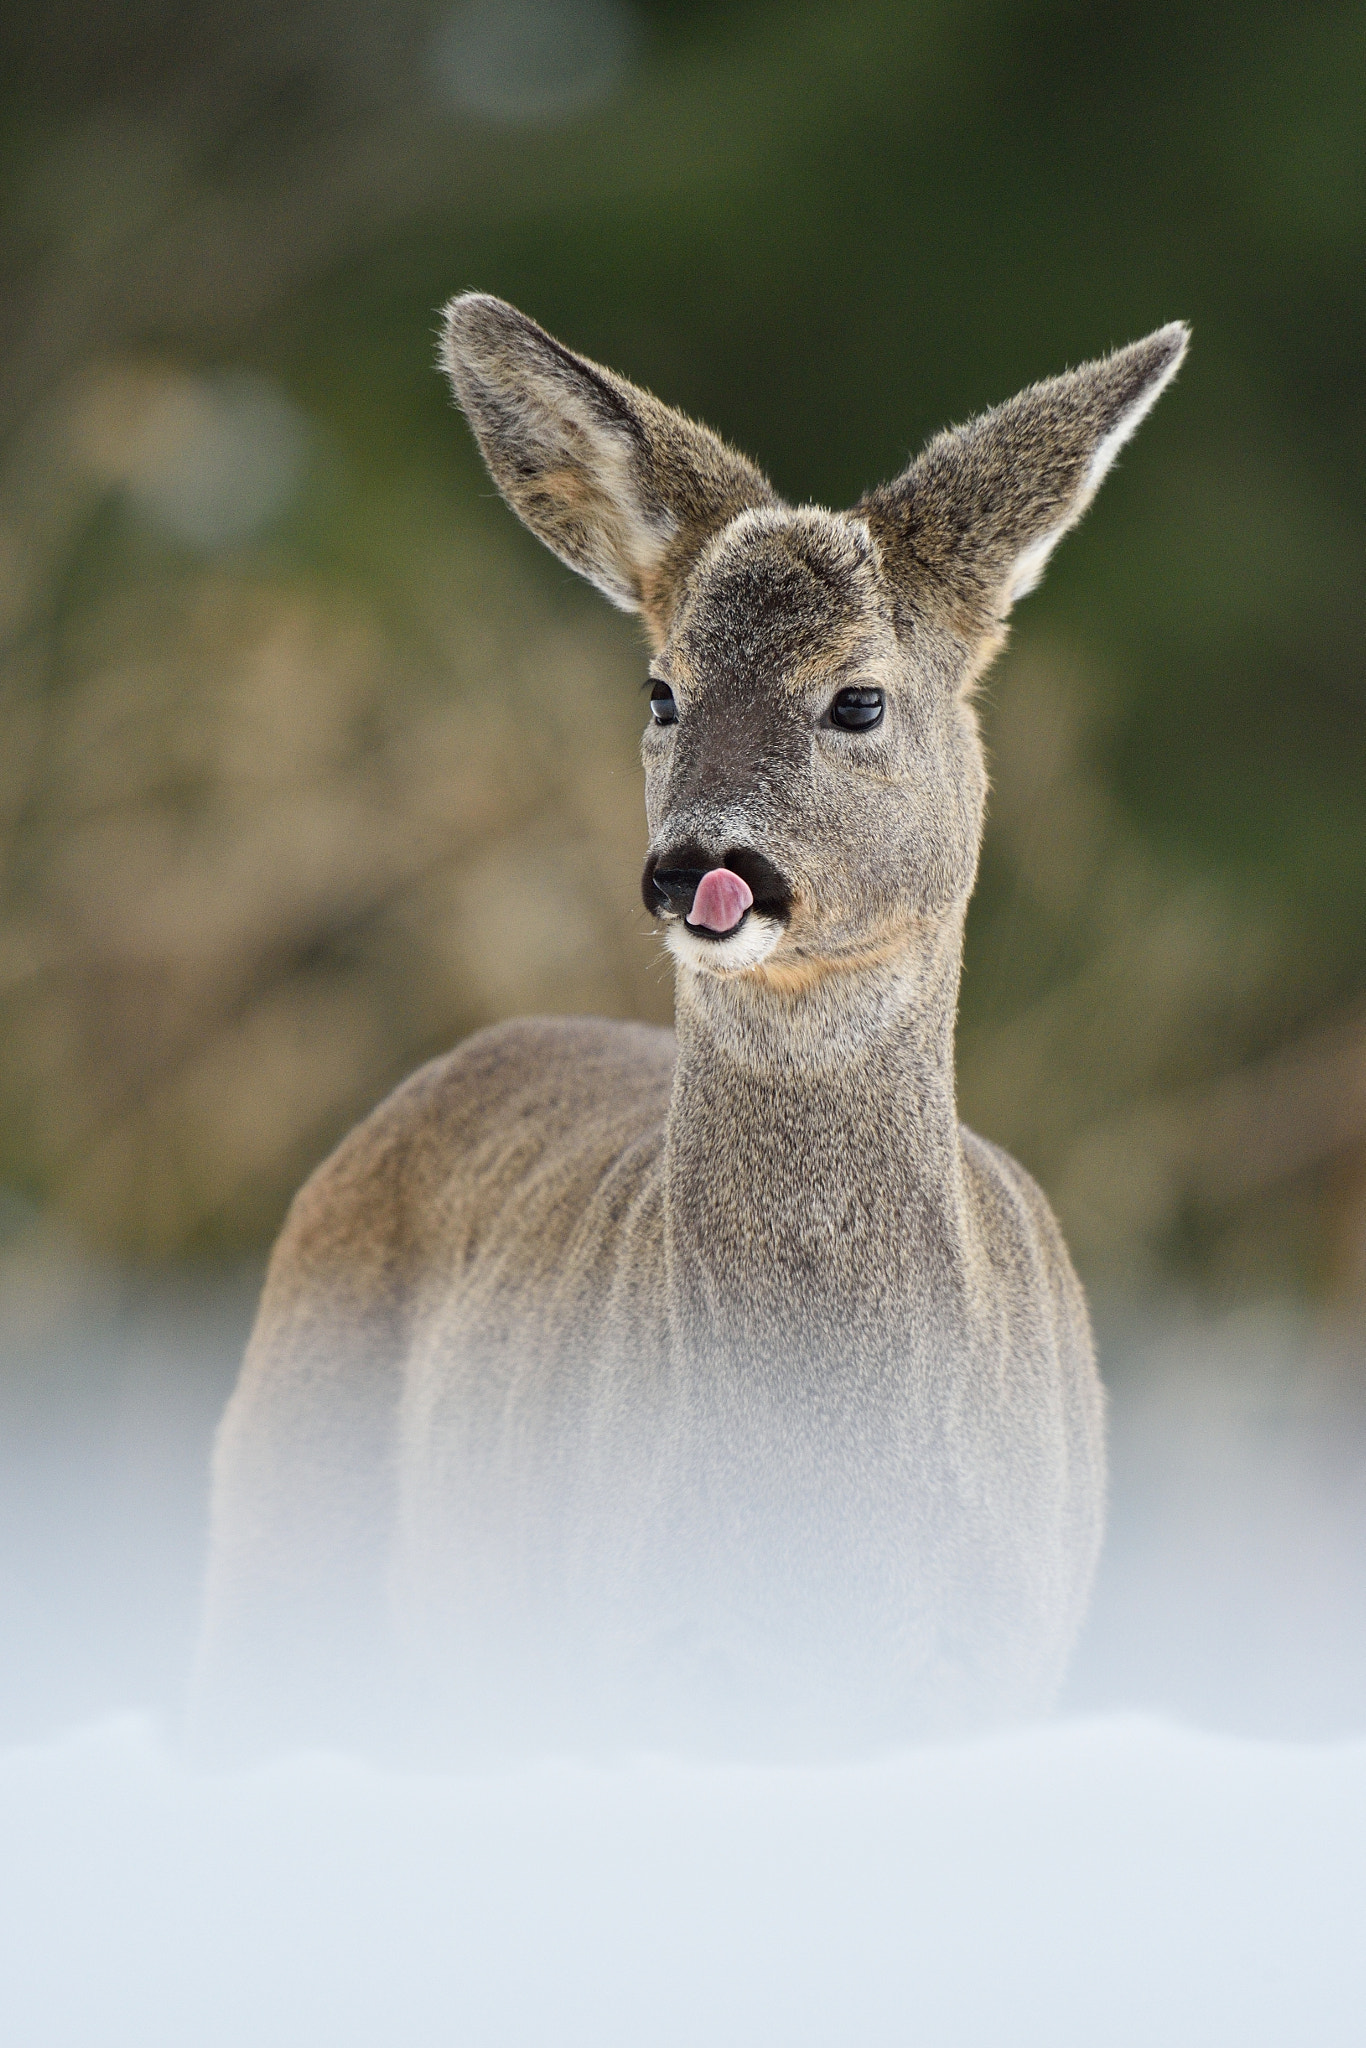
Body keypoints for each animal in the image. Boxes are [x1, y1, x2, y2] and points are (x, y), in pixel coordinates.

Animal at [189, 296, 1187, 1753]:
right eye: (662, 690)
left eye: (857, 698)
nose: (698, 868)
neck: (822, 1498)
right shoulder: (638, 1652)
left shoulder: (993, 1657)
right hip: (281, 1517)